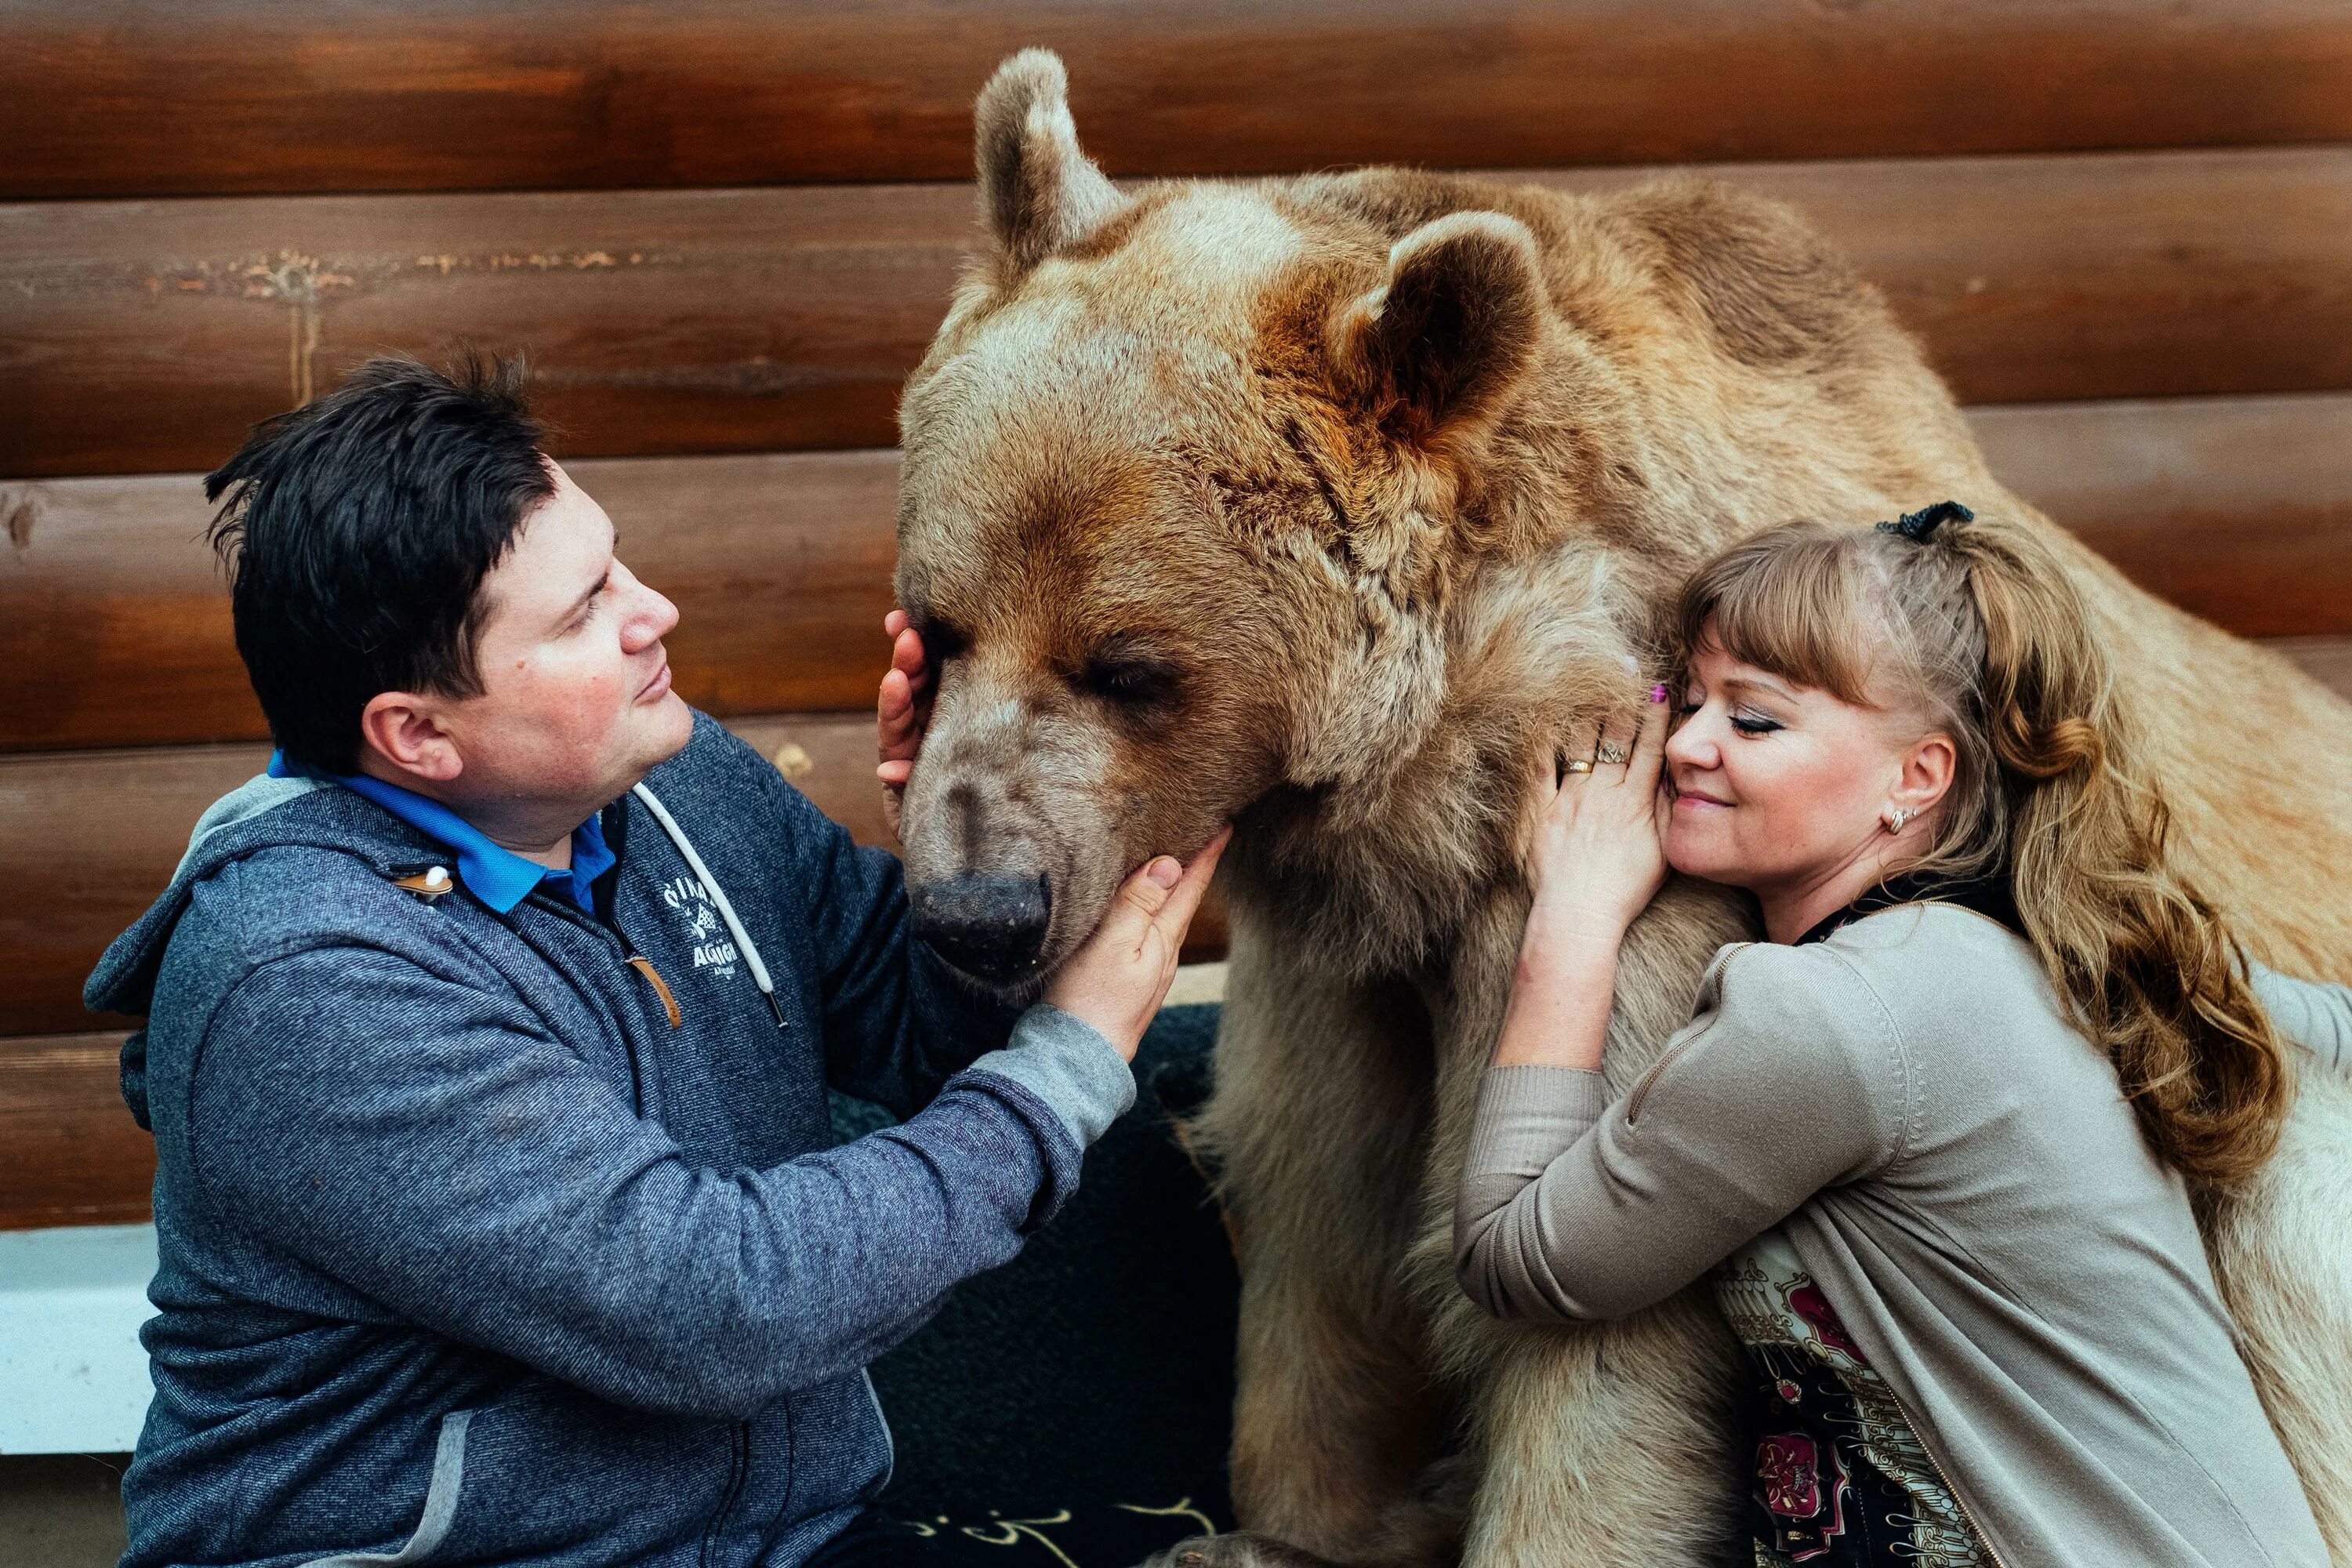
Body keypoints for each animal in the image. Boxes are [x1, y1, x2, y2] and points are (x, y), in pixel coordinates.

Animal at [884, 49, 2352, 1568]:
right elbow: (1321, 1203)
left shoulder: (1639, 896)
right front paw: (1284, 1523)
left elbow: (1588, 1321)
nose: (978, 909)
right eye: (939, 626)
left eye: (1129, 667)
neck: (1437, 784)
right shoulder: (1343, 947)